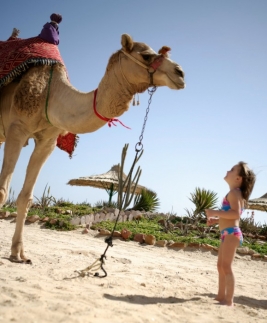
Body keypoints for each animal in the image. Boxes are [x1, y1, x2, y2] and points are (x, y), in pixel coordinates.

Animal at [0, 33, 185, 264]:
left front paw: (18, 253)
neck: (52, 96)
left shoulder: (47, 141)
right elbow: (2, 191)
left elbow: (26, 198)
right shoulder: (17, 129)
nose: (180, 73)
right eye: (147, 56)